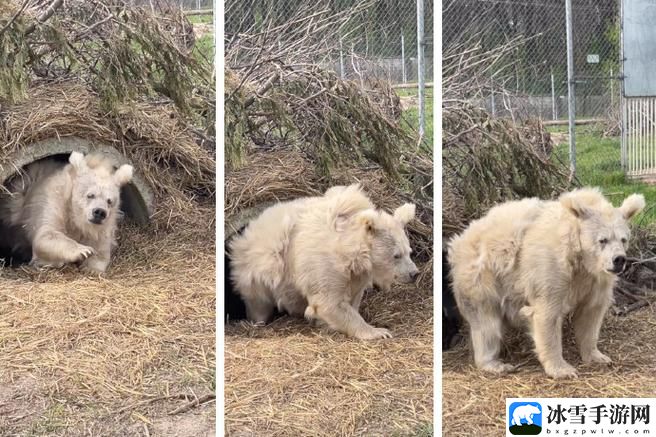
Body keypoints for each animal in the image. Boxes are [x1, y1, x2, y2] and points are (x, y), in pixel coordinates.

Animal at [0, 151, 133, 272]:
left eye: (109, 201)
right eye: (90, 195)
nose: (99, 212)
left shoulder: (103, 226)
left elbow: (101, 247)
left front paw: (91, 267)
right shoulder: (54, 204)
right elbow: (46, 235)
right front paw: (83, 251)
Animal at [228, 182, 418, 338]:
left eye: (409, 251)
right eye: (396, 255)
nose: (414, 273)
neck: (348, 251)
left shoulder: (357, 273)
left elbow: (353, 295)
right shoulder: (323, 264)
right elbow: (329, 302)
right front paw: (378, 331)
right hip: (258, 272)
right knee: (258, 303)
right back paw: (258, 321)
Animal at [448, 187, 644, 378]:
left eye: (623, 239)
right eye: (602, 240)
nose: (619, 260)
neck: (579, 258)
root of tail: (459, 239)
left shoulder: (595, 280)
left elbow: (591, 313)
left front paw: (598, 356)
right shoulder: (550, 269)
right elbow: (547, 314)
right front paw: (563, 370)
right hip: (482, 276)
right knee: (486, 322)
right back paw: (495, 364)